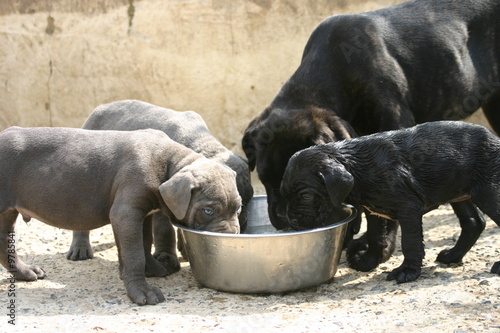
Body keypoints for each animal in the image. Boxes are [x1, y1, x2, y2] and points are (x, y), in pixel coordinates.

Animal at [0, 126, 242, 304]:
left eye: (238, 209)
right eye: (208, 211)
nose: (231, 236)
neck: (167, 163)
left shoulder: (142, 215)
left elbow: (144, 244)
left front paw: (152, 269)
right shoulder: (126, 213)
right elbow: (134, 255)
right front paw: (142, 292)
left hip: (7, 214)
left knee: (4, 246)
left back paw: (24, 272)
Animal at [67, 100, 254, 272]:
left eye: (245, 203)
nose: (242, 224)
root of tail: (100, 107)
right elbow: (165, 229)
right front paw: (166, 256)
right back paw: (80, 248)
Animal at [282, 120, 500, 282]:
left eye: (306, 196)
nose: (291, 221)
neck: (356, 166)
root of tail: (495, 139)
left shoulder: (408, 209)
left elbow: (410, 243)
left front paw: (407, 271)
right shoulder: (374, 211)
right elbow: (375, 236)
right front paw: (369, 261)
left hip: (487, 192)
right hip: (458, 192)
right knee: (474, 222)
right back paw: (453, 255)